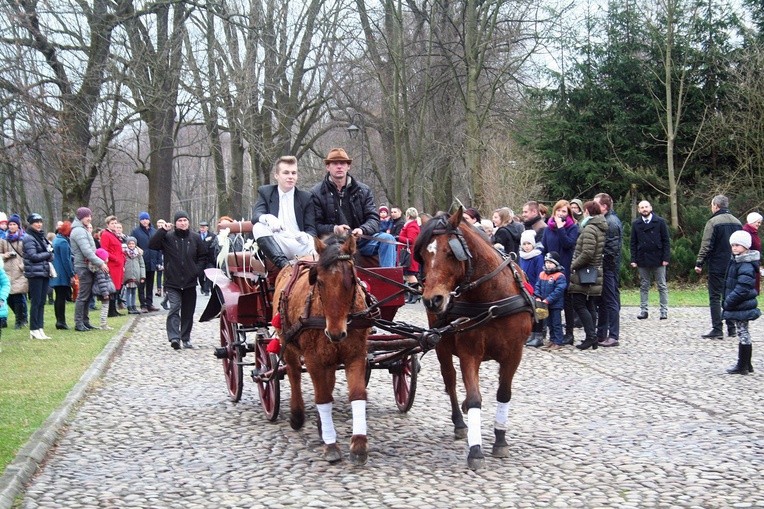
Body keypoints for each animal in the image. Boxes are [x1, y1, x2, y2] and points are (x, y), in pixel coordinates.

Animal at [274, 234, 372, 464]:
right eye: (319, 281)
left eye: (351, 279)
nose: (336, 333)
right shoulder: (313, 359)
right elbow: (322, 397)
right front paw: (331, 445)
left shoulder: (356, 354)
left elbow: (357, 394)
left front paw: (359, 444)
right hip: (287, 342)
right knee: (293, 373)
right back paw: (297, 415)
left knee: (329, 381)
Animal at [414, 206, 536, 468]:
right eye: (423, 255)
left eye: (451, 253)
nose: (432, 300)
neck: (491, 299)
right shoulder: (469, 353)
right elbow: (473, 398)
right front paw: (476, 449)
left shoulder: (514, 353)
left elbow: (504, 394)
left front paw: (500, 439)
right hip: (440, 344)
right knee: (450, 380)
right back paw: (460, 422)